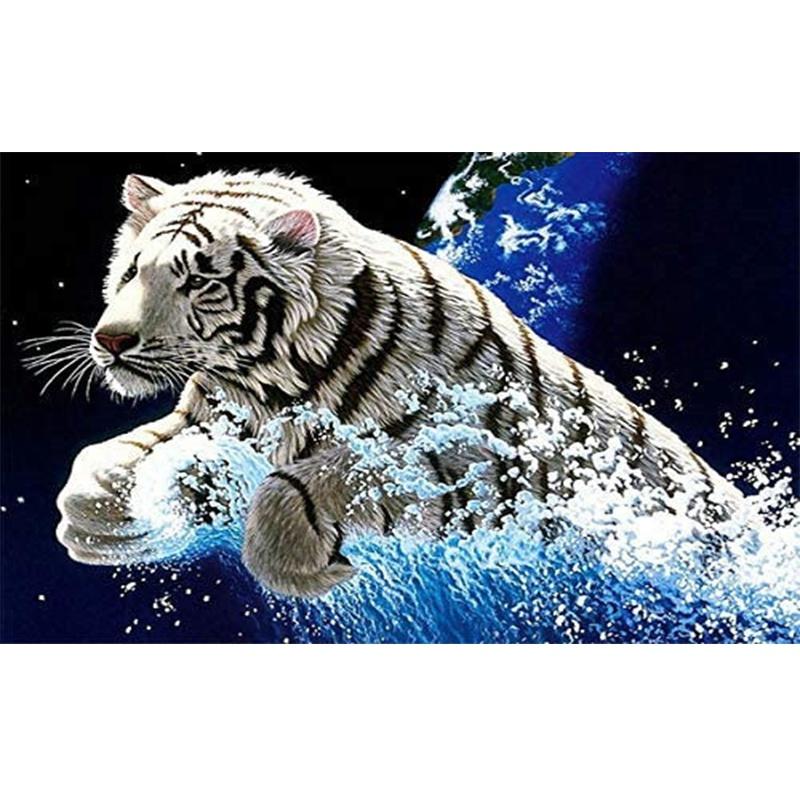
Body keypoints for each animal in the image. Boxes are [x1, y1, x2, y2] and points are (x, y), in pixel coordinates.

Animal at [52, 169, 744, 597]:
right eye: (133, 271)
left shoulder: (468, 468)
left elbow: (305, 483)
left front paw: (311, 570)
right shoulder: (210, 416)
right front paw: (100, 518)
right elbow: (105, 457)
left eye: (199, 281)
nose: (110, 340)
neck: (266, 382)